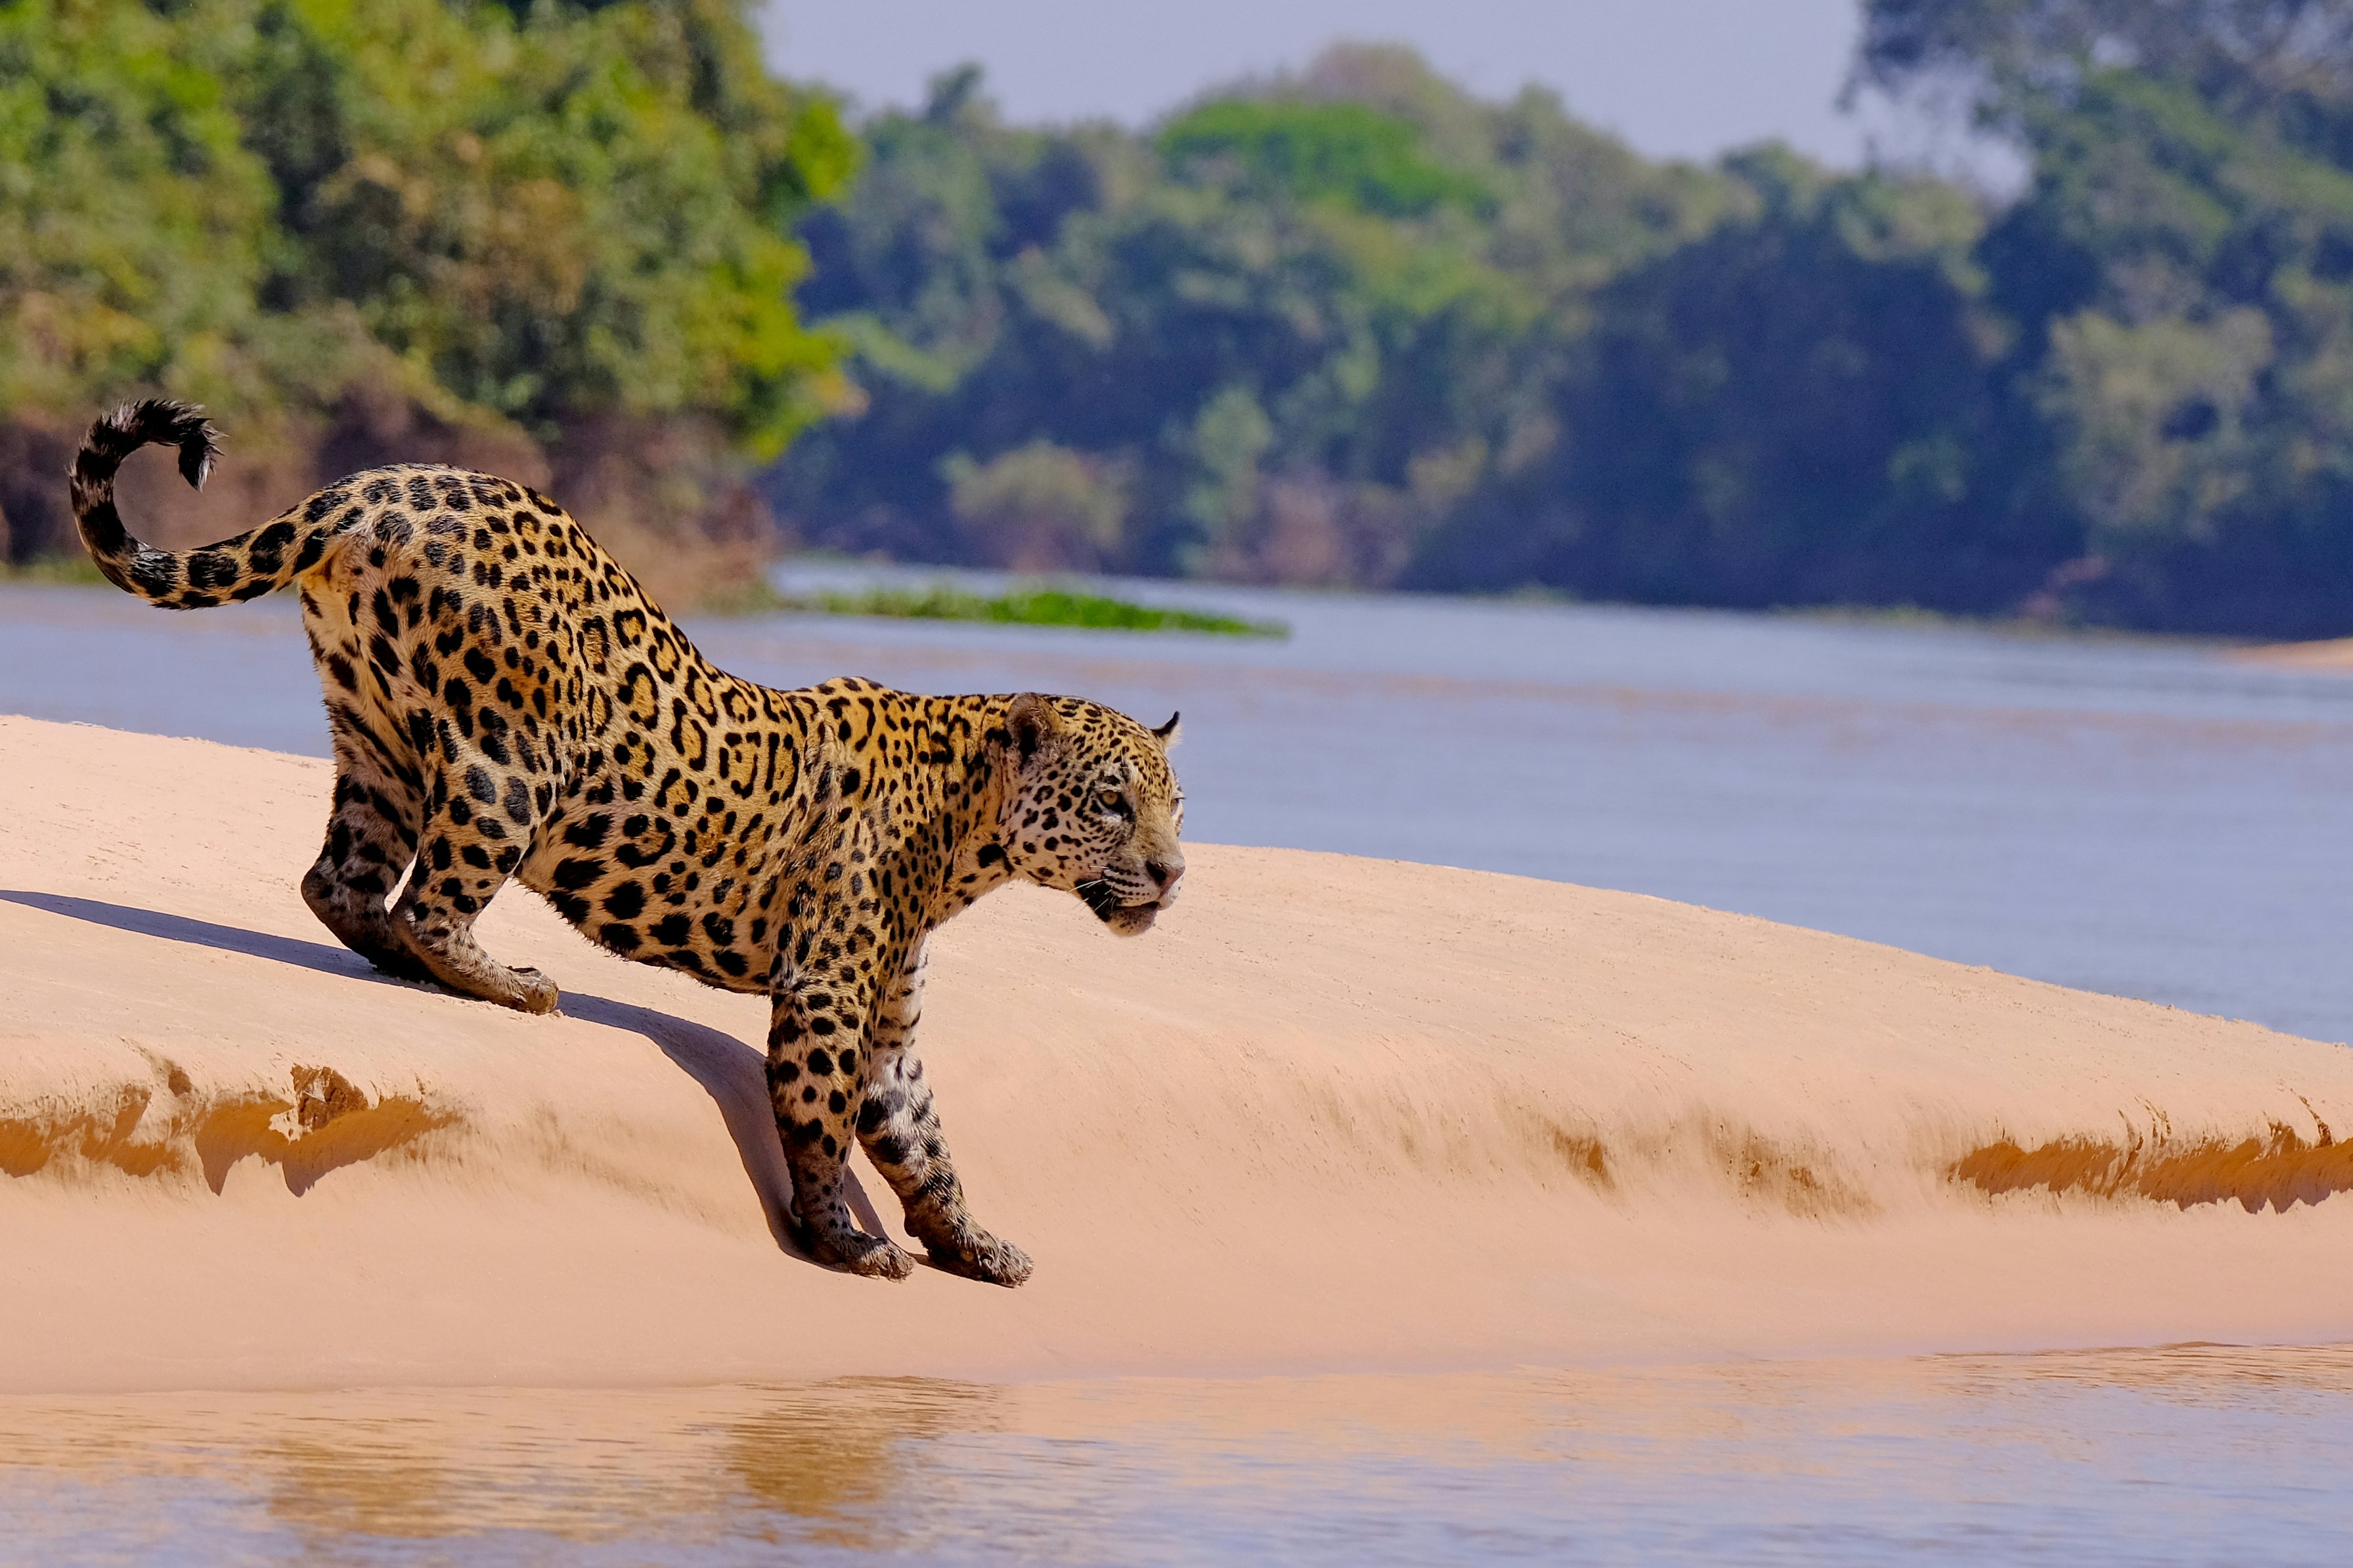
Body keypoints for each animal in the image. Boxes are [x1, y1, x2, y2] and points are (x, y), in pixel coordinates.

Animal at [67, 398, 1188, 1287]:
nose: (1173, 874)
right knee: (430, 901)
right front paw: (843, 1241)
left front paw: (974, 1243)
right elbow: (820, 1123)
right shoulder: (825, 992)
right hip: (510, 759)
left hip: (374, 730)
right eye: (1112, 805)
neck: (966, 831)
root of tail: (376, 483)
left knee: (339, 883)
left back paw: (410, 960)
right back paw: (514, 983)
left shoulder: (888, 1026)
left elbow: (924, 1144)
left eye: (1177, 808)